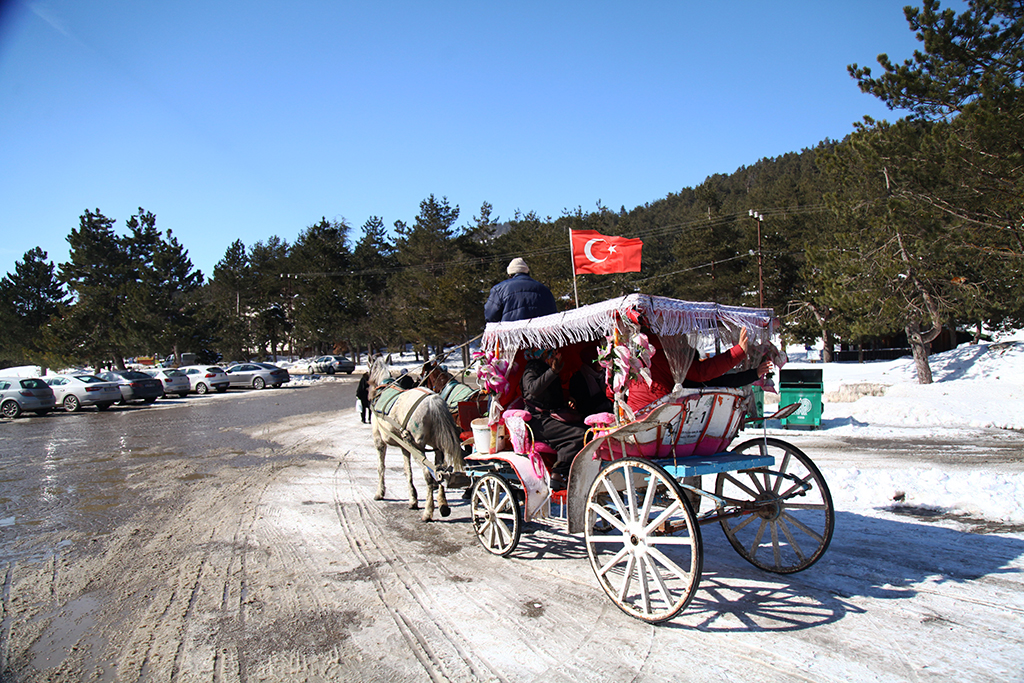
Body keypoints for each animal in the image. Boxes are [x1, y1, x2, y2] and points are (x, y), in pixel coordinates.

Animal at [368, 360, 468, 520]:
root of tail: (434, 402)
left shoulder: (379, 440)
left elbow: (381, 467)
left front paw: (380, 492)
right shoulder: (404, 446)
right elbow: (407, 470)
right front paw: (412, 499)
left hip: (417, 446)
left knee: (428, 474)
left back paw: (428, 512)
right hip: (436, 446)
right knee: (440, 471)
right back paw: (443, 505)